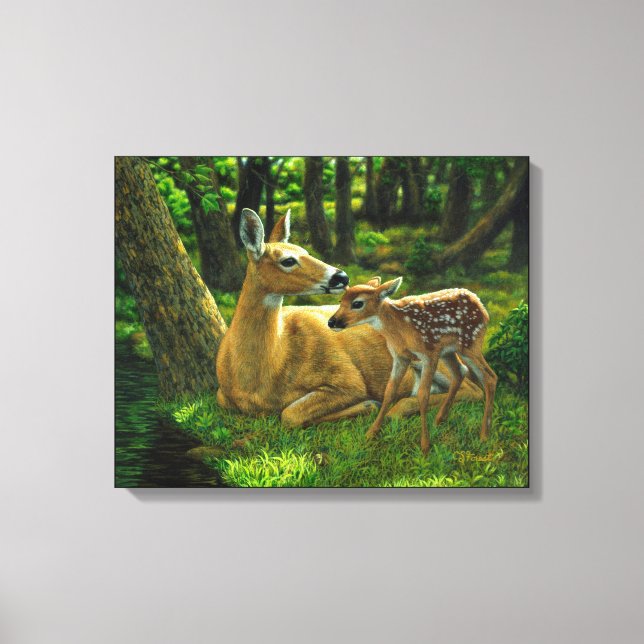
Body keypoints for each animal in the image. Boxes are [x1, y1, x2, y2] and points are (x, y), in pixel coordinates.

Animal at [215, 209, 483, 429]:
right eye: (288, 260)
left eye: (306, 252)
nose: (341, 276)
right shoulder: (222, 396)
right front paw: (367, 406)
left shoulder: (347, 378)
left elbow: (290, 414)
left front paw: (367, 404)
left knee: (472, 388)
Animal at [328, 277, 497, 454]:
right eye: (340, 301)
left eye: (357, 303)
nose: (331, 322)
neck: (399, 329)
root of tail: (480, 305)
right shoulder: (400, 356)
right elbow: (389, 391)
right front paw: (371, 433)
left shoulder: (428, 354)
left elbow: (423, 395)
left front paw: (425, 446)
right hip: (448, 351)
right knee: (460, 371)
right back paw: (439, 420)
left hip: (470, 342)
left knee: (489, 377)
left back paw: (484, 435)